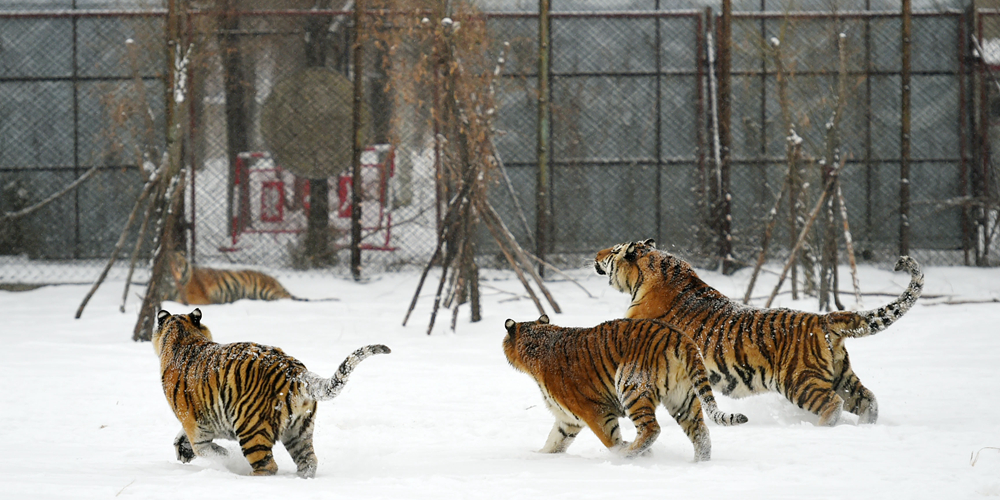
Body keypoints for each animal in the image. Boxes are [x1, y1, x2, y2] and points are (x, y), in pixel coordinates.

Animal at [152, 308, 390, 476]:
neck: (183, 335)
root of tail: (296, 372)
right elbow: (181, 436)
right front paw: (182, 450)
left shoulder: (197, 428)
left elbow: (209, 450)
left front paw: (223, 459)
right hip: (300, 430)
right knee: (309, 461)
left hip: (251, 428)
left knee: (268, 466)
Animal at [164, 250, 334, 304]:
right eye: (167, 265)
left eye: (177, 264)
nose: (174, 275)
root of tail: (275, 280)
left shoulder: (197, 298)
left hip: (266, 291)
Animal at [504, 314, 748, 462]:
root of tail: (680, 336)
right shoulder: (568, 419)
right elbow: (554, 442)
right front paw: (540, 457)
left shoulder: (595, 411)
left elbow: (611, 440)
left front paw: (624, 453)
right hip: (683, 397)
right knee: (701, 432)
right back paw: (699, 465)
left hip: (631, 387)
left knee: (651, 429)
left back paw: (628, 454)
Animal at [588, 239, 924, 426]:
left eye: (613, 251)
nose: (596, 254)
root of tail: (823, 318)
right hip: (842, 377)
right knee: (868, 400)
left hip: (800, 381)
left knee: (832, 405)